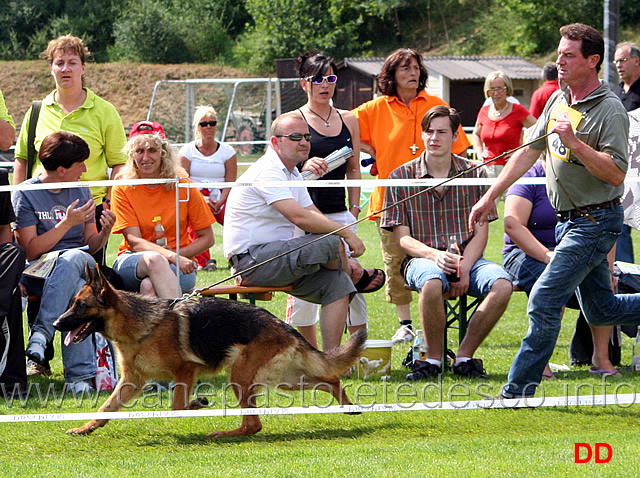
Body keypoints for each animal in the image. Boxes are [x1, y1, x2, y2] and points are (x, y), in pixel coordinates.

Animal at [53, 264, 364, 438]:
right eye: (72, 303)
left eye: (80, 306)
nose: (56, 324)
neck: (141, 326)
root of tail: (284, 326)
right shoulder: (131, 381)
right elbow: (107, 407)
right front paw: (86, 428)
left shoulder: (185, 370)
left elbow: (177, 406)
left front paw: (196, 404)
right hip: (285, 379)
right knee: (330, 379)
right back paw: (349, 406)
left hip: (241, 378)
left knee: (254, 424)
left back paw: (225, 433)